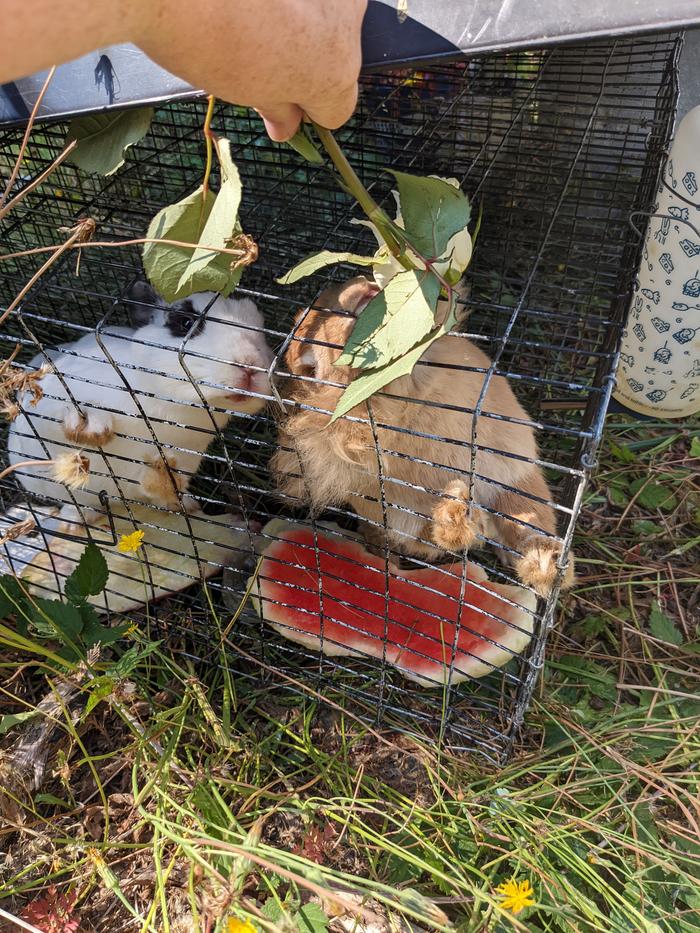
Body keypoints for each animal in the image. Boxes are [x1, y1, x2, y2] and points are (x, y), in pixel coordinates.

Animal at [10, 284, 276, 516]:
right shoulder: (50, 403)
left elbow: (151, 482)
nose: (250, 366)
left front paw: (166, 480)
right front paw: (91, 427)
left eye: (261, 330)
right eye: (185, 322)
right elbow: (60, 414)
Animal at [270, 276, 572, 596]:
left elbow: (527, 520)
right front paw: (457, 513)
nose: (362, 287)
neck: (406, 392)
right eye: (308, 366)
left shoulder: (512, 470)